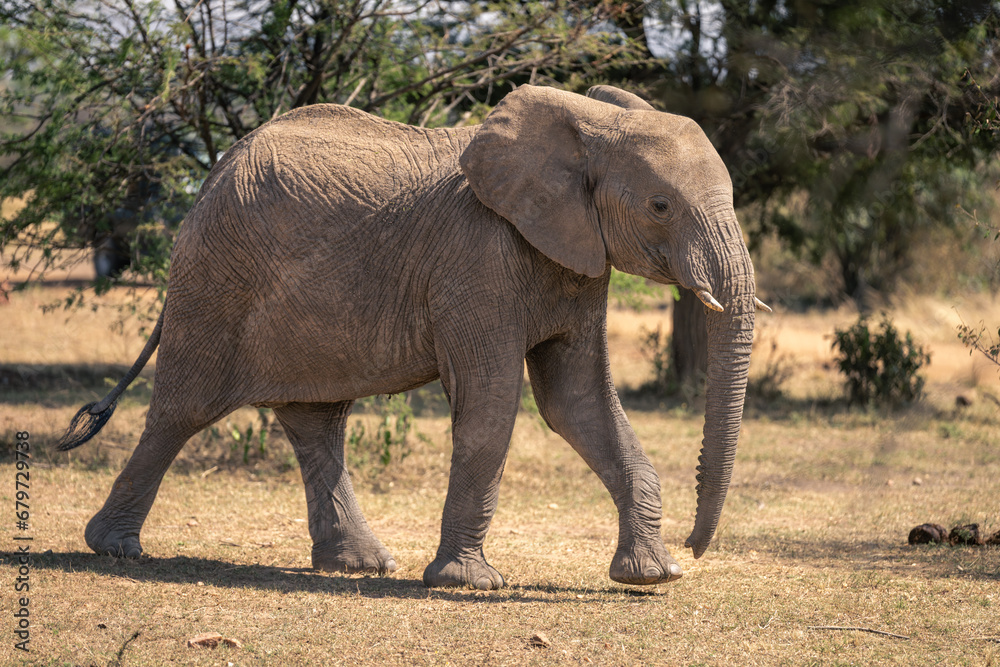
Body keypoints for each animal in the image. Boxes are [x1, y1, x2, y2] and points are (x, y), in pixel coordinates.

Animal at [59, 83, 768, 590]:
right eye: (660, 206)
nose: (696, 547)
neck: (587, 123)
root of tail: (212, 173)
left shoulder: (576, 260)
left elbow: (579, 404)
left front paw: (652, 577)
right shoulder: (476, 259)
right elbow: (492, 403)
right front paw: (469, 583)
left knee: (316, 420)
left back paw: (361, 566)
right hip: (213, 281)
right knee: (183, 409)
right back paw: (114, 548)